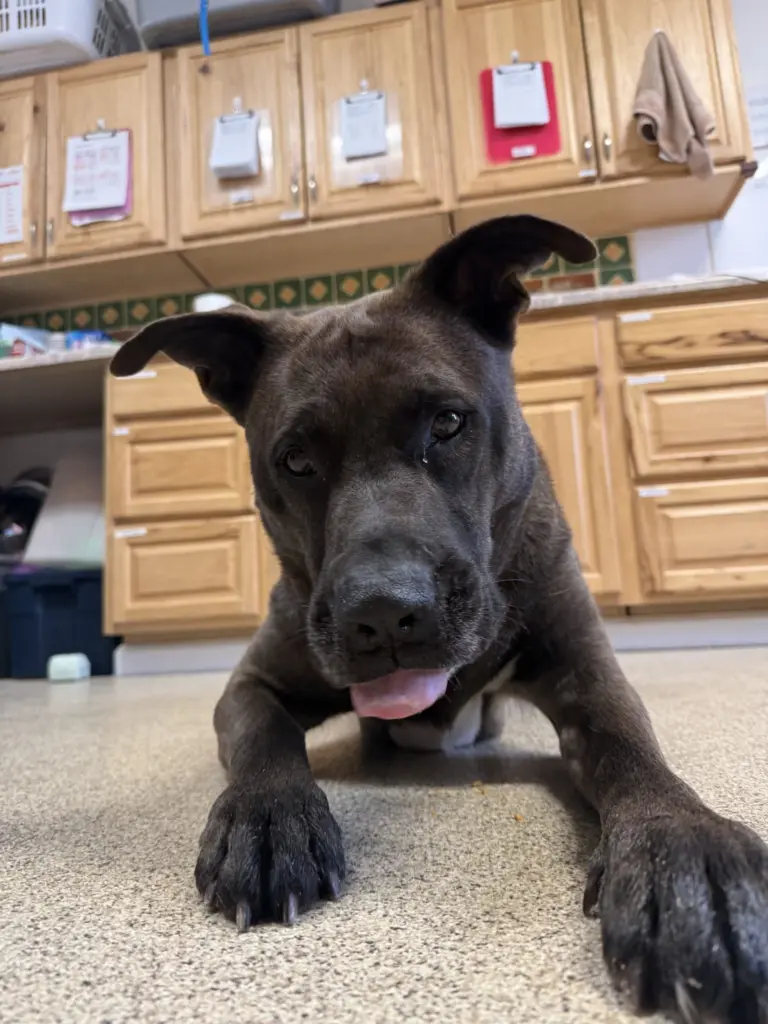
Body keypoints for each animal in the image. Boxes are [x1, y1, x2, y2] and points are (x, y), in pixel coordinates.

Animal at [111, 216, 768, 1022]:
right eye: (294, 460)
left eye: (448, 424)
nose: (384, 614)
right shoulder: (254, 680)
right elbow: (264, 736)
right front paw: (267, 818)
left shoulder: (582, 666)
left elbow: (628, 744)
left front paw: (681, 849)